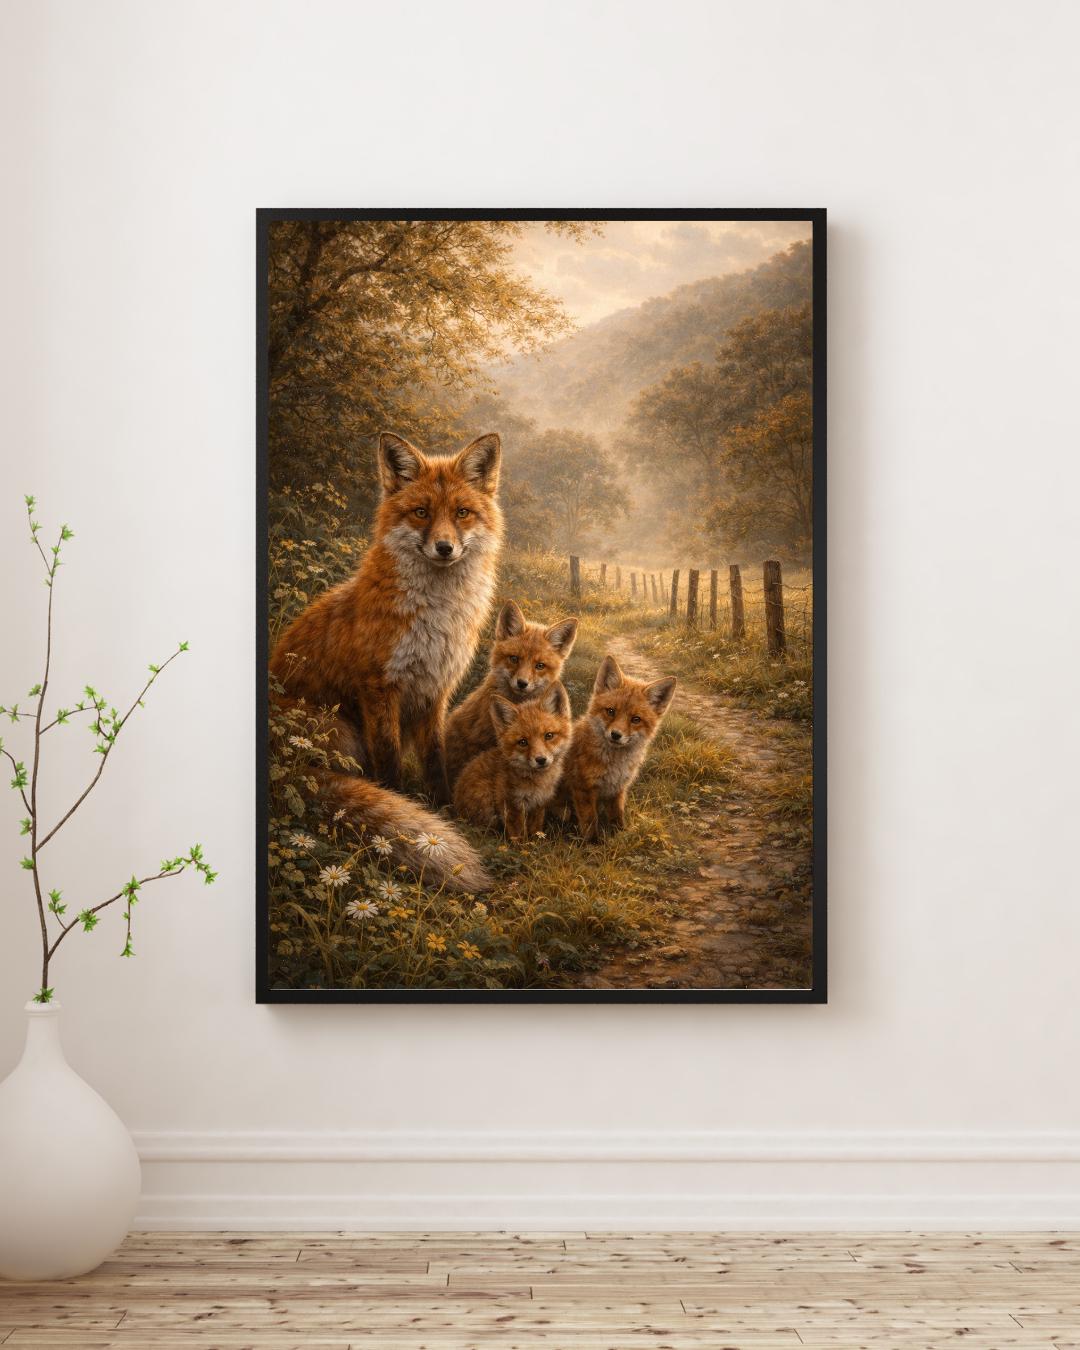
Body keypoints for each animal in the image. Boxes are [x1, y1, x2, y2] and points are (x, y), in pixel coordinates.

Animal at [270, 431, 504, 893]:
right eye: (421, 513)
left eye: (462, 513)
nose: (445, 547)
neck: (436, 619)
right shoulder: (380, 687)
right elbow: (391, 760)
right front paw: (399, 805)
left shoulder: (436, 689)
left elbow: (434, 757)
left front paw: (442, 808)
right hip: (341, 732)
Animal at [453, 682, 572, 842]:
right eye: (523, 742)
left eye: (549, 735)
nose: (541, 760)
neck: (536, 783)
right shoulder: (510, 804)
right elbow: (518, 834)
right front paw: (522, 846)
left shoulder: (539, 803)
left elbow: (535, 829)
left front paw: (537, 843)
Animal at [561, 654, 677, 842]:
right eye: (611, 711)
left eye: (636, 719)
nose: (616, 735)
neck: (615, 765)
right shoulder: (583, 788)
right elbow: (590, 820)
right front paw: (593, 843)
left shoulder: (618, 789)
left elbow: (617, 816)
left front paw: (621, 836)